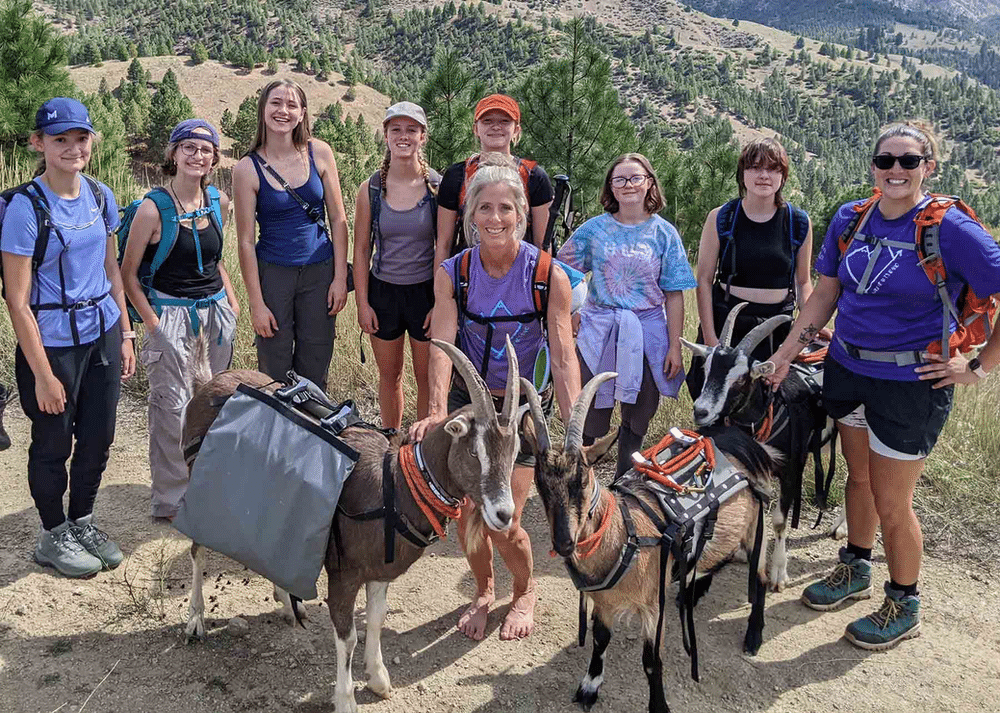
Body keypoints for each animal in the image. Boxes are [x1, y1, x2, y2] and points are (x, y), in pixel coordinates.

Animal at [182, 336, 524, 708]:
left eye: (513, 451)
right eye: (475, 451)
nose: (504, 514)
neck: (395, 487)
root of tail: (206, 384)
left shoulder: (378, 571)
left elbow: (375, 620)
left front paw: (378, 679)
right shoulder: (343, 574)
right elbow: (348, 637)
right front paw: (346, 700)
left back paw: (286, 602)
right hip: (202, 489)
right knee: (197, 551)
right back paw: (196, 620)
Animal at [520, 372, 776, 712]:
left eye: (583, 478)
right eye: (539, 482)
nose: (564, 542)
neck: (624, 534)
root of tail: (743, 441)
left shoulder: (654, 605)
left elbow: (651, 661)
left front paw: (659, 706)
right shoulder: (603, 603)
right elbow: (600, 639)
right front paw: (589, 686)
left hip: (754, 527)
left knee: (759, 576)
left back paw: (753, 637)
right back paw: (692, 593)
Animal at [684, 300, 840, 588]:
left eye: (740, 378)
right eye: (706, 369)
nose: (701, 411)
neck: (770, 411)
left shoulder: (792, 469)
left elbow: (778, 521)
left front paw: (778, 571)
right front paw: (744, 550)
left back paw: (841, 528)